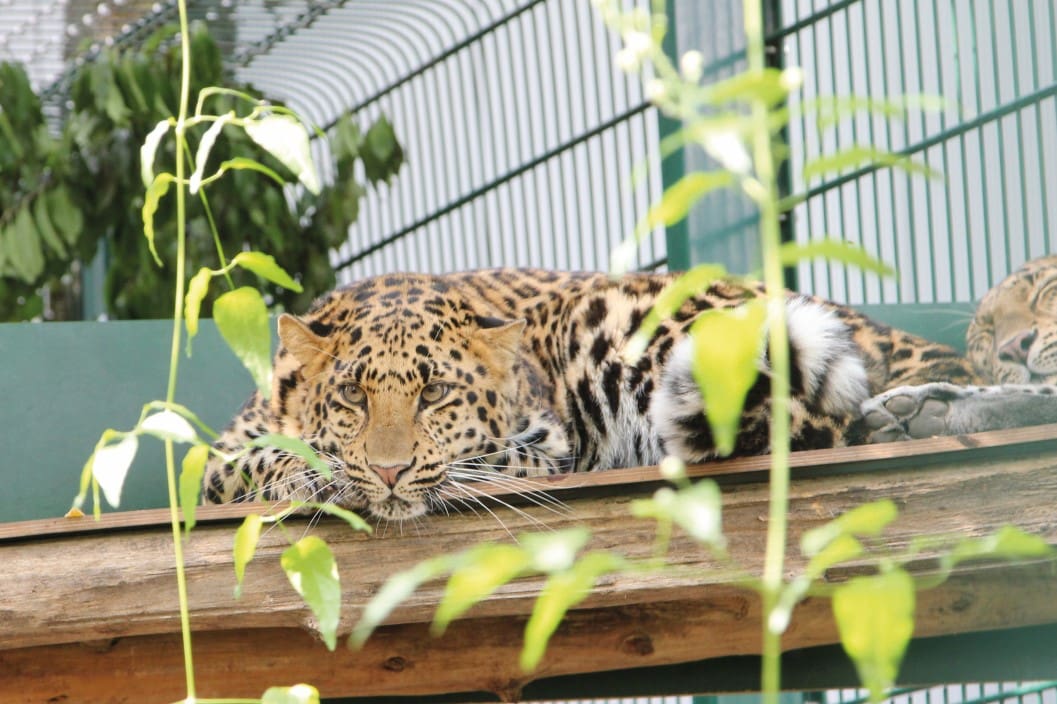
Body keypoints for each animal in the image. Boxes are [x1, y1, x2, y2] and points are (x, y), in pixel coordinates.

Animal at [199, 266, 980, 517]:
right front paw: (314, 472)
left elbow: (479, 463)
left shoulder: (546, 442)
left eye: (435, 394)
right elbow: (256, 460)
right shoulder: (207, 463)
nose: (388, 472)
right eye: (352, 397)